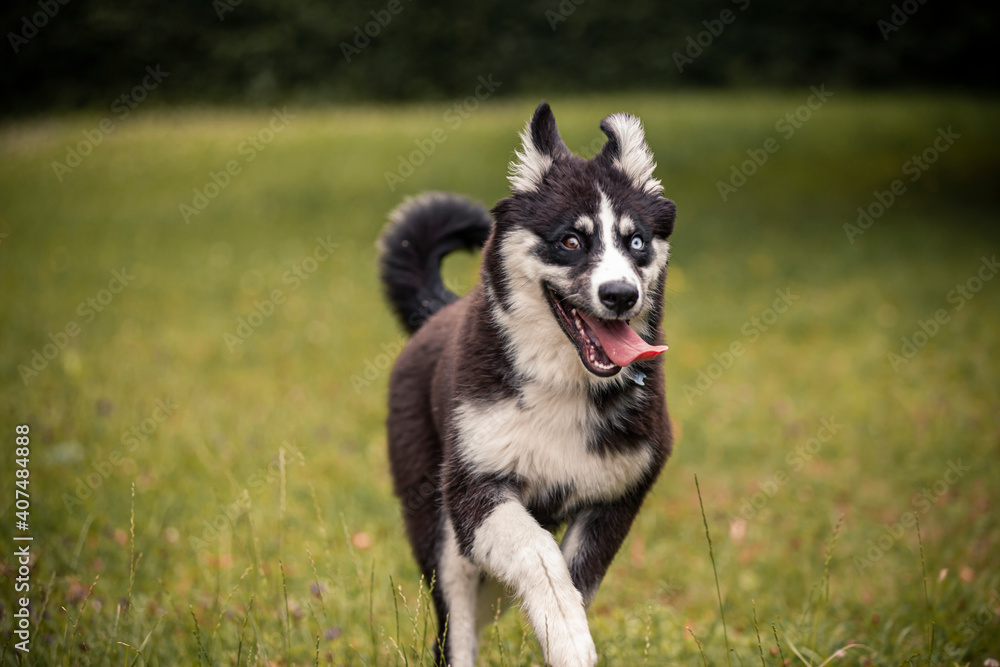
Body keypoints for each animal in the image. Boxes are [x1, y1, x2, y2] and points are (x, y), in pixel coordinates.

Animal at [378, 102, 676, 664]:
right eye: (571, 241)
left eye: (637, 242)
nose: (621, 295)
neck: (562, 384)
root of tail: (437, 312)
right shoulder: (475, 492)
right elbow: (541, 557)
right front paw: (570, 639)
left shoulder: (617, 497)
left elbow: (574, 578)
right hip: (440, 533)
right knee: (456, 630)